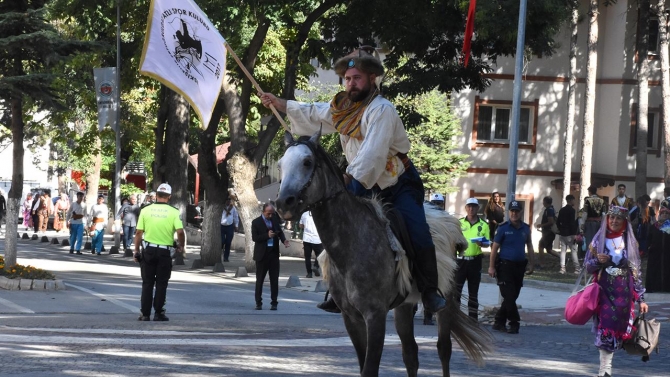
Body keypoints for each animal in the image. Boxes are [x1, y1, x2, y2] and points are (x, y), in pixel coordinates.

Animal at [274, 130, 494, 376]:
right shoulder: (351, 318)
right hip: (404, 306)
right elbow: (364, 365)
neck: (351, 246)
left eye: (307, 162)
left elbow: (370, 368)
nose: (283, 203)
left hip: (446, 298)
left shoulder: (375, 315)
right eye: (280, 165)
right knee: (410, 353)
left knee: (443, 349)